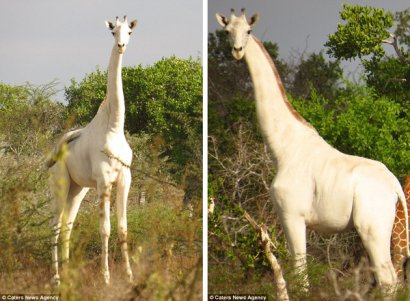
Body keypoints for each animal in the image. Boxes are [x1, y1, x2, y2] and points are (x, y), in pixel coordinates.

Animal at [48, 15, 138, 284]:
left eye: (129, 31)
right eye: (112, 32)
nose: (121, 46)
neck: (114, 128)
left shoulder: (125, 179)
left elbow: (123, 228)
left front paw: (130, 276)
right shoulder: (104, 181)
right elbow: (105, 229)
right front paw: (106, 277)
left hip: (77, 189)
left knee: (67, 224)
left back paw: (68, 273)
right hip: (60, 183)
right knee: (55, 225)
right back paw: (56, 277)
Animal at [216, 8, 408, 290]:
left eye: (249, 31)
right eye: (227, 31)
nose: (238, 51)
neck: (284, 148)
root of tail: (395, 186)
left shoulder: (292, 215)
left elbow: (300, 276)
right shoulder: (286, 218)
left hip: (372, 227)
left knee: (387, 280)